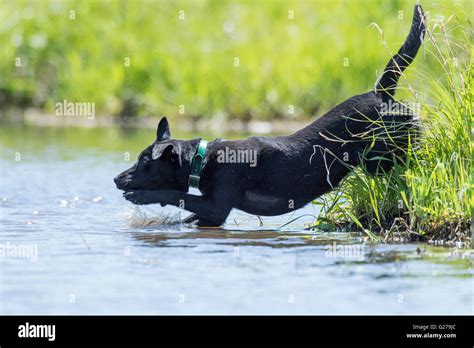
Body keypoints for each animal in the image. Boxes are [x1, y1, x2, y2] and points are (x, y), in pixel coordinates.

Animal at [115, 4, 426, 227]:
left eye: (144, 162)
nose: (117, 179)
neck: (202, 160)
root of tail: (381, 93)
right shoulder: (212, 215)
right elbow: (187, 214)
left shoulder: (217, 205)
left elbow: (176, 194)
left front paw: (141, 196)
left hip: (386, 156)